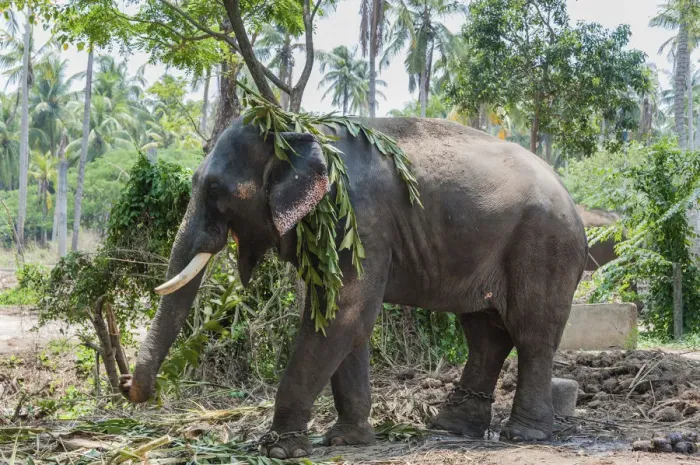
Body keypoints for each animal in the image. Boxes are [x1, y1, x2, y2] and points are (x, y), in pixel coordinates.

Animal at [119, 117, 588, 458]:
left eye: (217, 190)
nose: (129, 388)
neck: (298, 127)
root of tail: (572, 197)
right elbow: (345, 321)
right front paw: (347, 440)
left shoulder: (358, 218)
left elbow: (345, 313)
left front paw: (279, 450)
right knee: (484, 333)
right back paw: (451, 426)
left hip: (544, 244)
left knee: (531, 332)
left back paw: (523, 435)